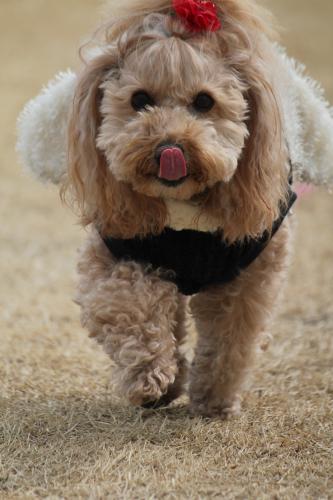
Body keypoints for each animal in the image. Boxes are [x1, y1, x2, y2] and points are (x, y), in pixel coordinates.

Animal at [16, 0, 332, 418]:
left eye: (204, 101)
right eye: (139, 100)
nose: (170, 147)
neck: (183, 209)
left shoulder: (250, 269)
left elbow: (232, 335)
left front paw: (214, 399)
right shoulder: (120, 249)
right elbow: (129, 303)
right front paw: (150, 377)